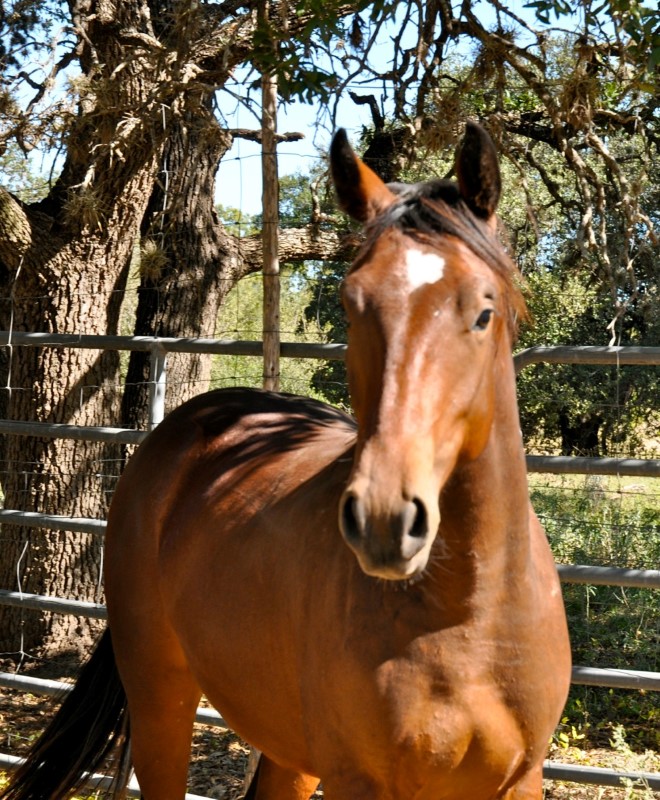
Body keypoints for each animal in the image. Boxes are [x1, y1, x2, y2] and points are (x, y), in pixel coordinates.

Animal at [0, 122, 568, 796]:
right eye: (351, 304)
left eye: (483, 312)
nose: (384, 520)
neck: (469, 619)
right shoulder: (357, 780)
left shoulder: (520, 779)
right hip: (162, 697)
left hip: (288, 750)